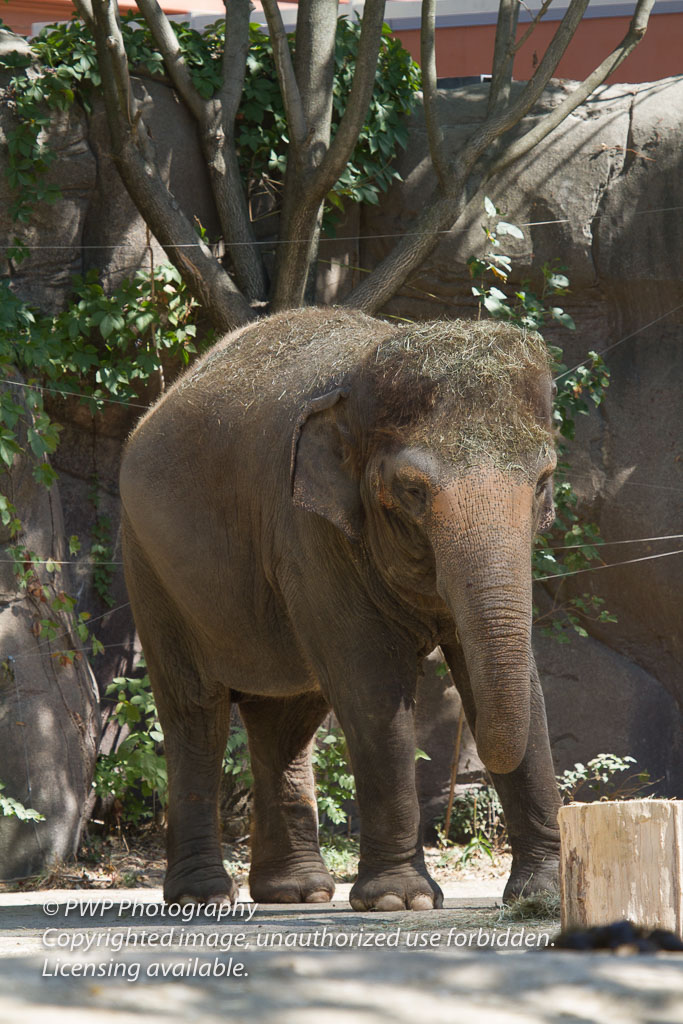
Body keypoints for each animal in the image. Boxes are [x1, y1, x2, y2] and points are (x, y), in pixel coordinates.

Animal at [120, 305, 565, 913]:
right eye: (412, 490)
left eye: (543, 482)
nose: (470, 782)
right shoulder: (310, 532)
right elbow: (372, 686)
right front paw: (401, 901)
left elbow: (517, 683)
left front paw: (545, 896)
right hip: (150, 569)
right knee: (195, 713)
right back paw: (203, 898)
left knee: (284, 718)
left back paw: (297, 892)